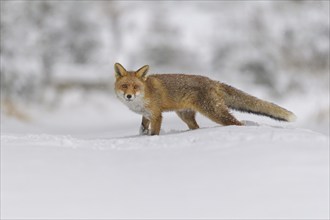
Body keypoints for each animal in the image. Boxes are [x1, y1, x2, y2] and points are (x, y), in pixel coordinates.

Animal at [114, 62, 296, 135]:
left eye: (135, 87)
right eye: (125, 86)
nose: (129, 96)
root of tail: (213, 81)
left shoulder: (157, 114)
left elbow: (154, 133)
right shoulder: (147, 115)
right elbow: (143, 128)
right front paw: (140, 136)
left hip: (214, 112)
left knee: (237, 123)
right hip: (186, 116)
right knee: (196, 128)